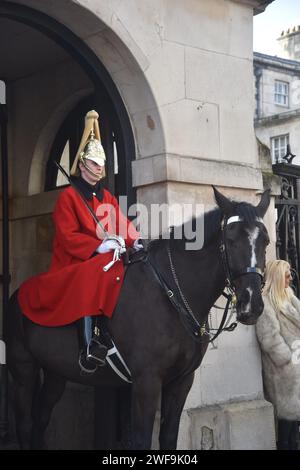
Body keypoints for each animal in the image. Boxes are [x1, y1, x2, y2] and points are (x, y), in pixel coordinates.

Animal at [6, 187, 270, 448]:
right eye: (231, 240)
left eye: (265, 241)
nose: (251, 304)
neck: (171, 292)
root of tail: (17, 293)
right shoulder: (147, 381)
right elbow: (142, 440)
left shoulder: (182, 381)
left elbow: (168, 437)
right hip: (23, 370)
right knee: (25, 424)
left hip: (56, 372)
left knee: (41, 418)